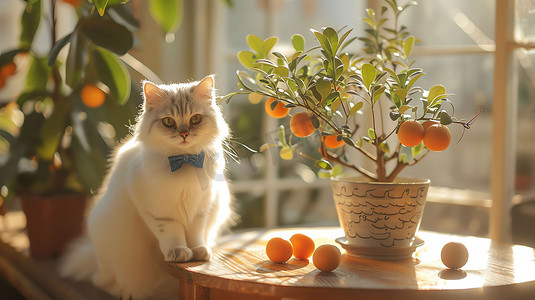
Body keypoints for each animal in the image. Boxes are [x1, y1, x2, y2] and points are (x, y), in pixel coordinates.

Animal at [59, 76, 233, 298]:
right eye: (168, 122)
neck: (184, 161)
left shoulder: (202, 208)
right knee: (105, 283)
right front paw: (179, 253)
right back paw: (128, 292)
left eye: (195, 119)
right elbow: (172, 234)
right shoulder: (157, 211)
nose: (184, 133)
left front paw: (198, 252)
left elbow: (195, 234)